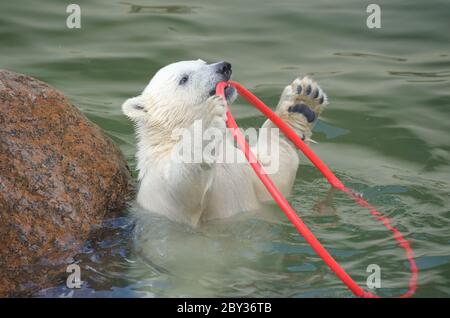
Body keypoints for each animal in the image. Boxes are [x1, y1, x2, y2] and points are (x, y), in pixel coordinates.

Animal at [121, 59, 328, 227]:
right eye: (184, 78)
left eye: (202, 62)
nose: (224, 66)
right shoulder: (159, 190)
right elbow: (181, 186)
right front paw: (209, 117)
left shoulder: (245, 169)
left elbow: (274, 174)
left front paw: (303, 100)